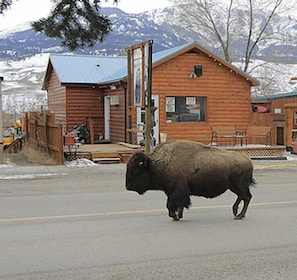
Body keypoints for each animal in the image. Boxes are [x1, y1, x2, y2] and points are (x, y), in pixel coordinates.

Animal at [125, 140, 254, 221]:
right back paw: (236, 213)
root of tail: (248, 160)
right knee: (243, 197)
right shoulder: (177, 192)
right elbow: (179, 204)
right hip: (233, 187)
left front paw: (175, 217)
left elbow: (170, 205)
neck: (157, 164)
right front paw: (179, 216)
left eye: (134, 171)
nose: (127, 186)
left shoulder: (175, 191)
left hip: (238, 186)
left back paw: (239, 216)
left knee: (246, 197)